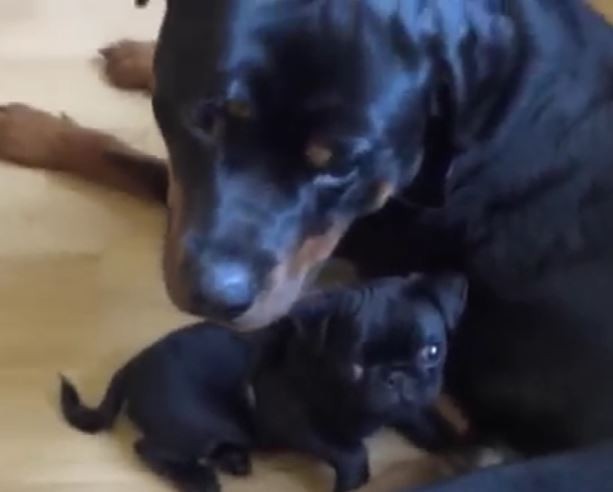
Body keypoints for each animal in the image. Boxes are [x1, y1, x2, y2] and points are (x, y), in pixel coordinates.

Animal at [61, 272, 464, 492]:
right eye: (355, 366)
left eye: (432, 351)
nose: (396, 376)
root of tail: (130, 367)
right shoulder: (297, 420)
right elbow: (351, 452)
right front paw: (355, 479)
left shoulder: (408, 405)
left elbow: (422, 417)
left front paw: (454, 441)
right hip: (197, 424)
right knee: (148, 448)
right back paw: (198, 477)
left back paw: (234, 458)